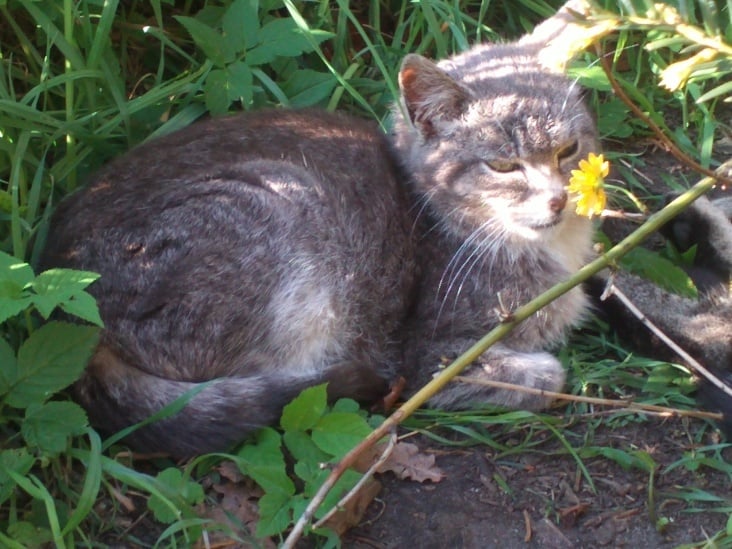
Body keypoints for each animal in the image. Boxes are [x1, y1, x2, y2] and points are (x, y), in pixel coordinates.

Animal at [40, 7, 600, 458]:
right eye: (504, 165)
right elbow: (544, 375)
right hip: (288, 215)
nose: (560, 198)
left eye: (568, 150)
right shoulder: (432, 354)